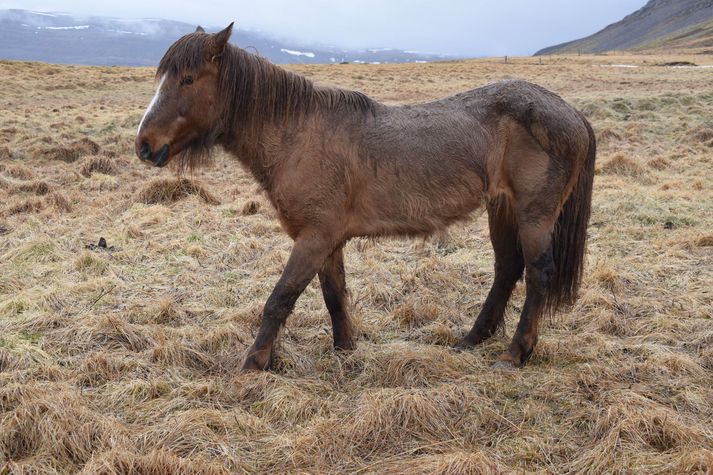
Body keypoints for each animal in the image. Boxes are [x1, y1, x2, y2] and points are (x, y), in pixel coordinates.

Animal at [135, 24, 596, 372]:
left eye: (188, 79)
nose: (144, 145)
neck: (298, 135)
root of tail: (571, 113)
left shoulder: (314, 238)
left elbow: (279, 300)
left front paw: (253, 363)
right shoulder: (327, 240)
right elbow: (334, 296)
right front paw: (345, 351)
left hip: (534, 214)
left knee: (538, 275)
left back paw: (515, 353)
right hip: (502, 209)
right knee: (506, 270)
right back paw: (471, 339)